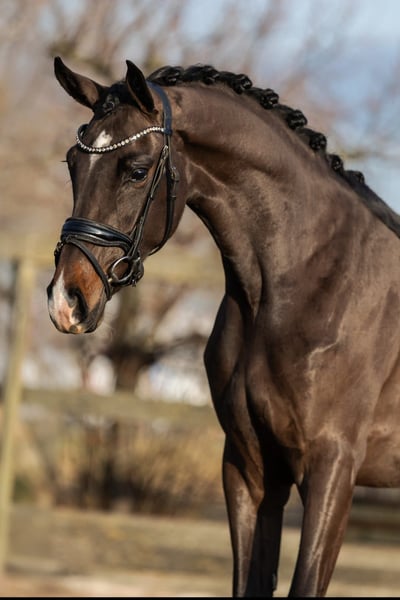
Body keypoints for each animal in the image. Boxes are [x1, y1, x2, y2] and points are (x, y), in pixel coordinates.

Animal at [47, 56, 400, 597]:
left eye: (136, 170)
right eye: (72, 163)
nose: (67, 300)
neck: (303, 278)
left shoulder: (333, 469)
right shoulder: (250, 469)